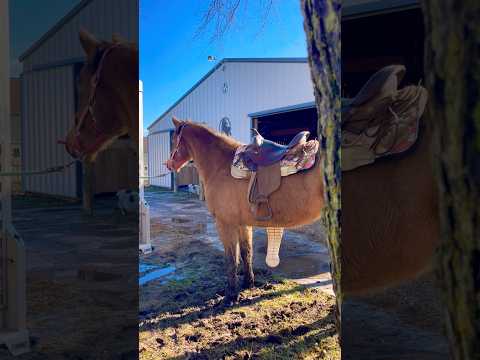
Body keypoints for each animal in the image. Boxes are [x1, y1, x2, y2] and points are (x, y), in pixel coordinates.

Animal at [167, 117, 324, 304]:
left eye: (174, 139)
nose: (169, 165)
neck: (221, 165)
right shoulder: (243, 224)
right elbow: (246, 253)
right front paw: (248, 284)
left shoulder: (225, 224)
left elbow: (231, 259)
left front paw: (230, 296)